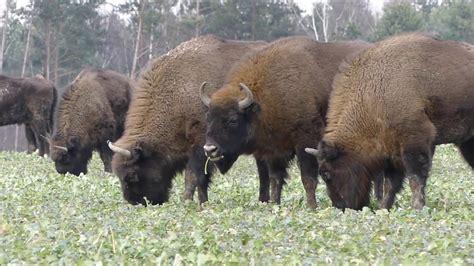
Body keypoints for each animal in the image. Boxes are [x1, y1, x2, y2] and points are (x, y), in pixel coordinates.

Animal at [109, 35, 268, 206]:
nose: (136, 202)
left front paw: (189, 200)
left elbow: (194, 175)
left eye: (132, 175)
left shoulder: (201, 146)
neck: (177, 91)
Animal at [200, 35, 370, 208]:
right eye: (208, 117)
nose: (210, 149)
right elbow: (276, 179)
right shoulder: (274, 150)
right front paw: (275, 204)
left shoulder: (305, 142)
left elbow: (307, 178)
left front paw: (311, 207)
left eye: (233, 119)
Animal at [304, 33, 474, 211]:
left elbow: (415, 178)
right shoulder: (392, 152)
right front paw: (384, 208)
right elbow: (391, 184)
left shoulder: (415, 143)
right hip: (468, 141)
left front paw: (417, 207)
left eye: (326, 173)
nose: (340, 207)